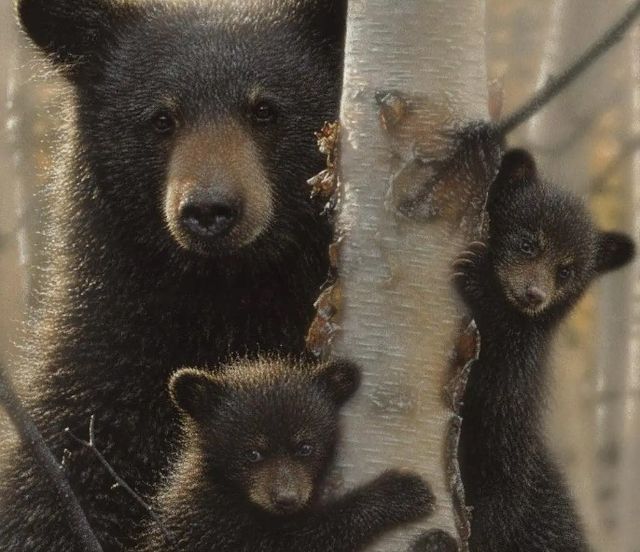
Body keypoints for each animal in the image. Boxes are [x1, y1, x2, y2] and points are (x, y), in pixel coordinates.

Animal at [135, 357, 435, 552]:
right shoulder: (214, 523)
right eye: (252, 452)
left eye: (305, 447)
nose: (286, 499)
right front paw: (401, 492)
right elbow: (293, 541)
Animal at [452, 149, 635, 551]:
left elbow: (503, 364)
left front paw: (476, 277)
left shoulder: (519, 367)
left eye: (566, 271)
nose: (533, 295)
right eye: (528, 243)